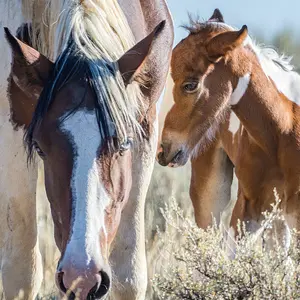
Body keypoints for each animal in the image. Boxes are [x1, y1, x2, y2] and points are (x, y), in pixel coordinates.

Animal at [0, 1, 173, 298]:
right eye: (40, 148)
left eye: (124, 144)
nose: (81, 276)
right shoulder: (12, 127)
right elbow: (22, 273)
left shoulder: (146, 127)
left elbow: (129, 275)